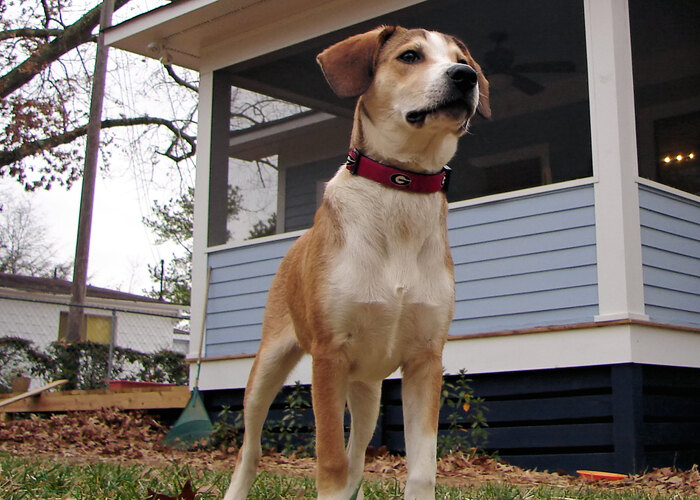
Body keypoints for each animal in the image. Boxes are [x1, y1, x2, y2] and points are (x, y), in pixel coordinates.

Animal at [227, 25, 490, 498]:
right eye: (410, 56)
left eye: (463, 61)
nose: (465, 77)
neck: (400, 188)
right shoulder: (329, 356)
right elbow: (330, 462)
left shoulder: (426, 360)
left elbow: (420, 469)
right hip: (269, 365)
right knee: (251, 446)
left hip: (368, 390)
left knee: (358, 453)